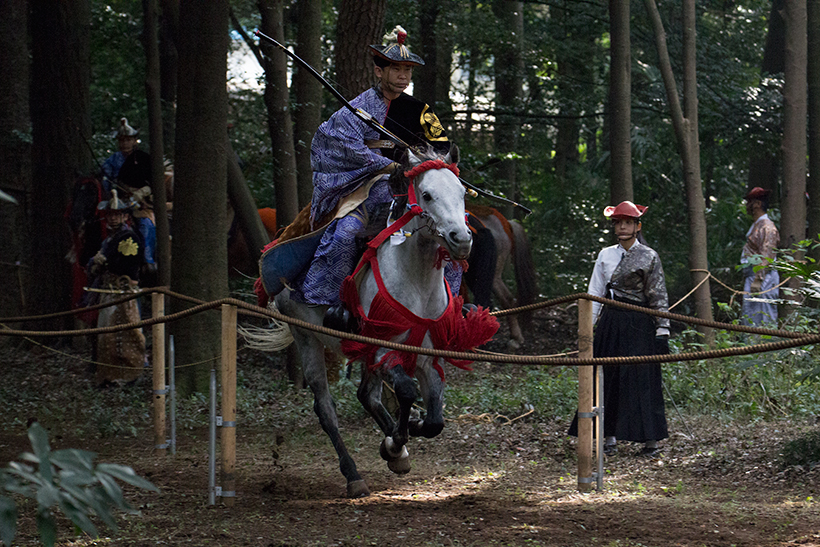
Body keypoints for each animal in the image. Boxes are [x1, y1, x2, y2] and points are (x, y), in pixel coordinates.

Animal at [247, 146, 496, 496]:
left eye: (462, 193)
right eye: (427, 195)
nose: (461, 239)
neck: (416, 282)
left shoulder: (426, 355)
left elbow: (435, 420)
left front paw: (404, 436)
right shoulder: (382, 349)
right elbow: (406, 391)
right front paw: (398, 439)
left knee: (367, 394)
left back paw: (395, 451)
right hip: (306, 337)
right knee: (326, 408)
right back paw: (354, 474)